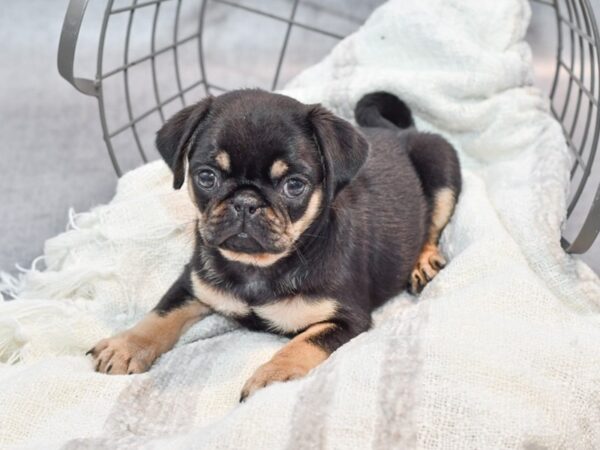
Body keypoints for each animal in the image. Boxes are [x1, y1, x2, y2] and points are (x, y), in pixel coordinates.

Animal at [86, 89, 462, 400]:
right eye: (206, 177)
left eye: (294, 185)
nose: (246, 202)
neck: (257, 268)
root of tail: (397, 131)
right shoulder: (192, 282)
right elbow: (161, 313)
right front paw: (126, 345)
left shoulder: (346, 319)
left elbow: (303, 342)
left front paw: (273, 376)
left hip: (440, 167)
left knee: (433, 225)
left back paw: (423, 262)